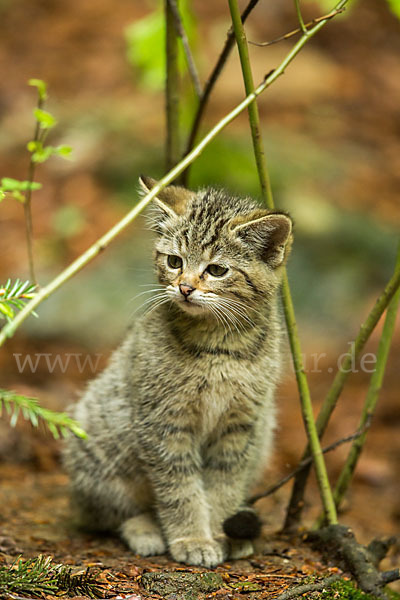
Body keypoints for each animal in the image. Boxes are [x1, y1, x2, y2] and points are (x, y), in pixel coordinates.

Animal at [63, 177, 294, 568]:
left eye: (217, 270)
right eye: (174, 261)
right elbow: (179, 488)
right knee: (106, 512)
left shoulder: (241, 424)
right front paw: (192, 538)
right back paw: (144, 530)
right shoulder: (164, 422)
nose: (184, 287)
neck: (220, 347)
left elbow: (224, 485)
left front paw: (221, 532)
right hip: (99, 444)